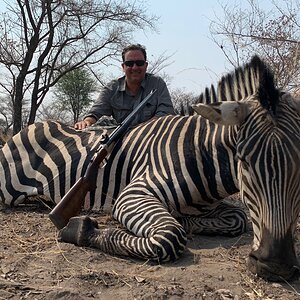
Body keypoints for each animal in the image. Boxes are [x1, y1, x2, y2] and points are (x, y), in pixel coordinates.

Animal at [0, 55, 298, 282]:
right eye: (243, 160)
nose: (276, 266)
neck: (198, 152)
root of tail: (29, 127)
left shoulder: (211, 207)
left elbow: (237, 218)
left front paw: (185, 219)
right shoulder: (132, 195)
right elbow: (168, 237)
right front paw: (81, 230)